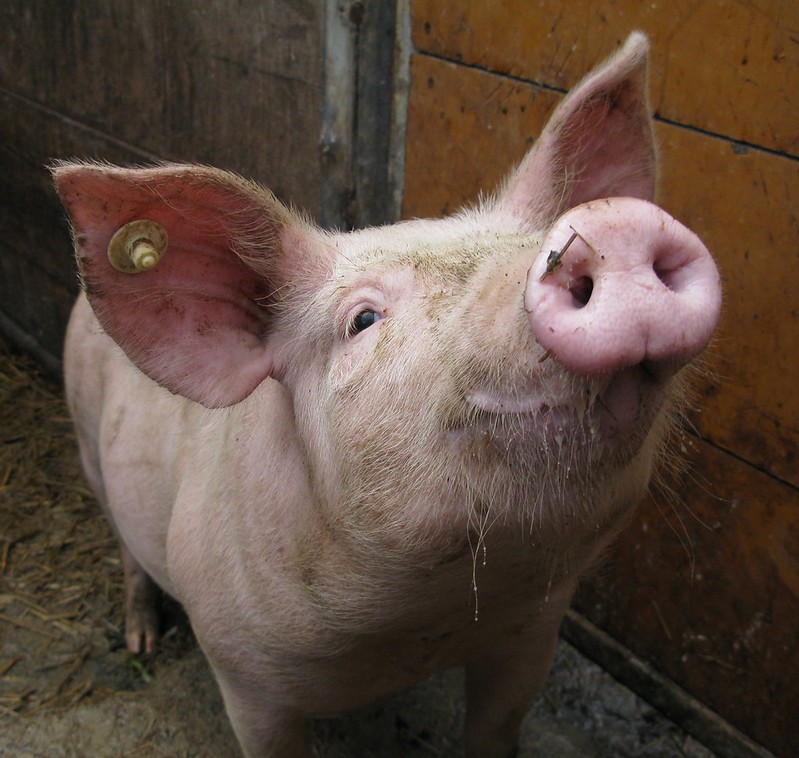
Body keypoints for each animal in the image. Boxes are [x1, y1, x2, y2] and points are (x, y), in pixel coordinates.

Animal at [53, 32, 721, 757]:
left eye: (529, 244)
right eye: (363, 320)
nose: (612, 228)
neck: (416, 623)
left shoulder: (531, 635)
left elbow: (495, 727)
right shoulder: (243, 674)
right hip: (87, 440)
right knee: (125, 546)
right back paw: (141, 640)